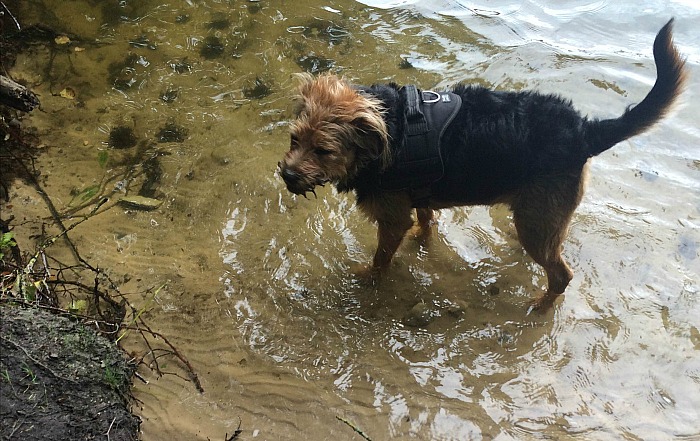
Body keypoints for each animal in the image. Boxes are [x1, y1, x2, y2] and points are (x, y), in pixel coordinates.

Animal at [276, 18, 688, 312]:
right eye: (294, 140)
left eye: (324, 151)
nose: (288, 175)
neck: (385, 134)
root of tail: (584, 130)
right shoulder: (419, 198)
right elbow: (425, 222)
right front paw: (422, 242)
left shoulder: (392, 217)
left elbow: (381, 257)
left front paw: (368, 279)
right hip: (539, 214)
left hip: (538, 221)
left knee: (562, 274)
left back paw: (539, 306)